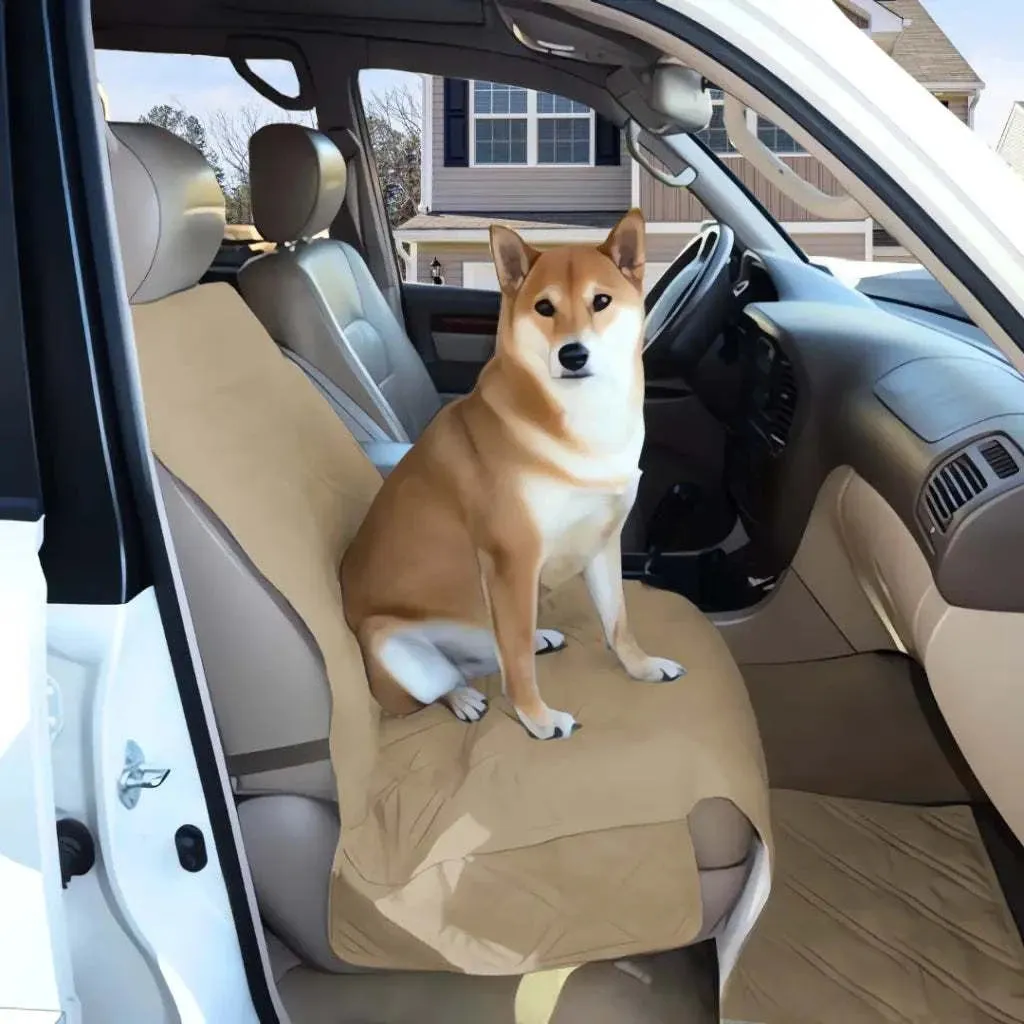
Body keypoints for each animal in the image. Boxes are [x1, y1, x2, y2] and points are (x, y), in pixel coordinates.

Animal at [339, 209, 684, 737]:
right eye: (544, 307)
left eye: (601, 301)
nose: (572, 354)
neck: (581, 425)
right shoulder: (513, 562)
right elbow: (518, 663)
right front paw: (538, 719)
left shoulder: (602, 542)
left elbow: (617, 621)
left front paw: (642, 667)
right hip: (391, 645)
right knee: (442, 685)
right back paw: (463, 698)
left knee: (490, 655)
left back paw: (534, 641)